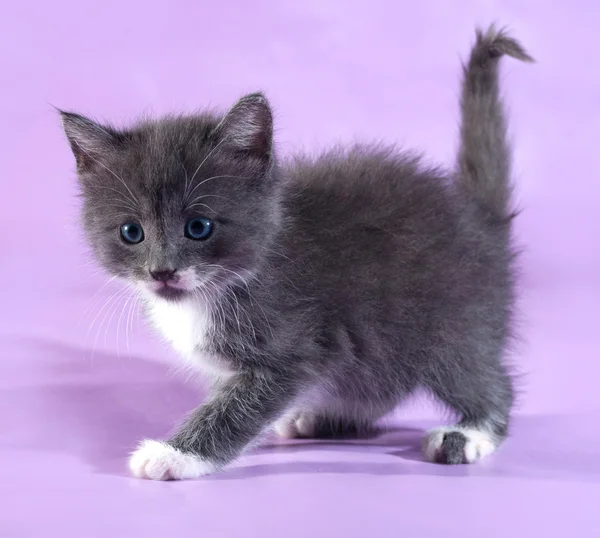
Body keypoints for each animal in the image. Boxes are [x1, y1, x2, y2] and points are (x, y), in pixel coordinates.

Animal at [59, 26, 528, 478]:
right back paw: (324, 417)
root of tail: (477, 213)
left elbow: (237, 407)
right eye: (131, 232)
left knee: (481, 376)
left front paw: (174, 454)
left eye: (199, 227)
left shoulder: (296, 345)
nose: (162, 271)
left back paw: (470, 432)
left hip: (451, 319)